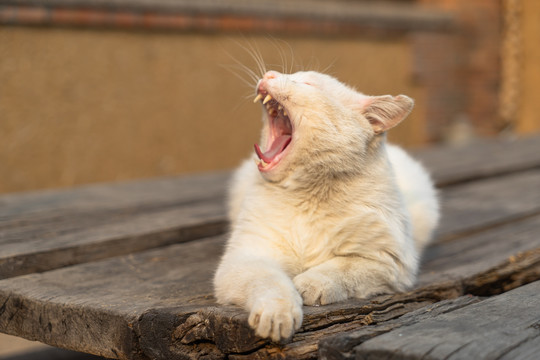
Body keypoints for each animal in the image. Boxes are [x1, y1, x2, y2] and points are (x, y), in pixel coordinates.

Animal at [212, 70, 438, 344]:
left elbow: (342, 268)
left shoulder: (389, 263)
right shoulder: (246, 257)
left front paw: (310, 284)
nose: (269, 74)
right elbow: (271, 282)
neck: (308, 195)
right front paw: (278, 314)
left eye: (307, 83)